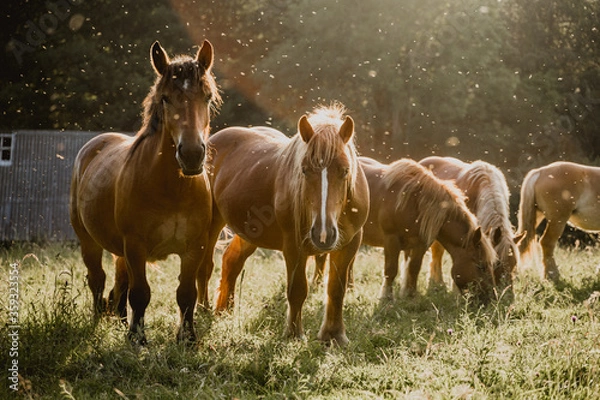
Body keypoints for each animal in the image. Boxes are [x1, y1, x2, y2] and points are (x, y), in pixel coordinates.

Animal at [70, 40, 220, 344]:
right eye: (165, 98)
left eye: (207, 97)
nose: (192, 154)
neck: (173, 190)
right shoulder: (136, 246)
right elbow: (140, 294)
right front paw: (136, 338)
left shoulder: (194, 248)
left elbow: (186, 294)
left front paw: (187, 338)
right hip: (89, 241)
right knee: (98, 279)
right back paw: (98, 322)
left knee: (119, 281)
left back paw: (119, 321)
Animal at [200, 104, 370, 346]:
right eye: (305, 169)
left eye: (345, 170)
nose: (323, 235)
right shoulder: (293, 246)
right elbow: (297, 290)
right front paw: (294, 335)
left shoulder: (349, 245)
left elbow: (336, 290)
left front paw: (334, 335)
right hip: (212, 224)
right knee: (205, 267)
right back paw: (202, 310)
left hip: (249, 233)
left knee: (232, 261)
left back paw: (224, 310)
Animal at [356, 156, 496, 300]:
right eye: (481, 266)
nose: (492, 297)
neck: (414, 202)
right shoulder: (391, 240)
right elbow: (391, 270)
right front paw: (386, 298)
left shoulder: (420, 244)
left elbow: (414, 268)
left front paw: (410, 295)